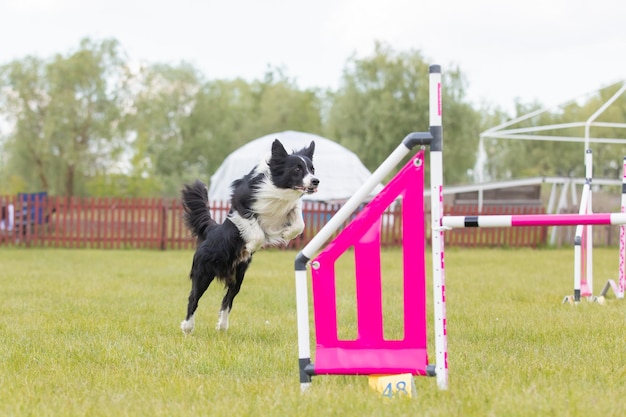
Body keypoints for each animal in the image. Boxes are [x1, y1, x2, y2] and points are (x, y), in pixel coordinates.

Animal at [179, 138, 316, 334]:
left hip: (238, 277)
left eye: (312, 169)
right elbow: (256, 231)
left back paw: (222, 326)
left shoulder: (291, 208)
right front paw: (251, 245)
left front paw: (287, 233)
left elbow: (299, 222)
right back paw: (188, 327)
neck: (279, 188)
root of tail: (212, 230)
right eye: (297, 169)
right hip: (204, 272)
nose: (315, 181)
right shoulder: (240, 204)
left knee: (227, 300)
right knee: (194, 298)